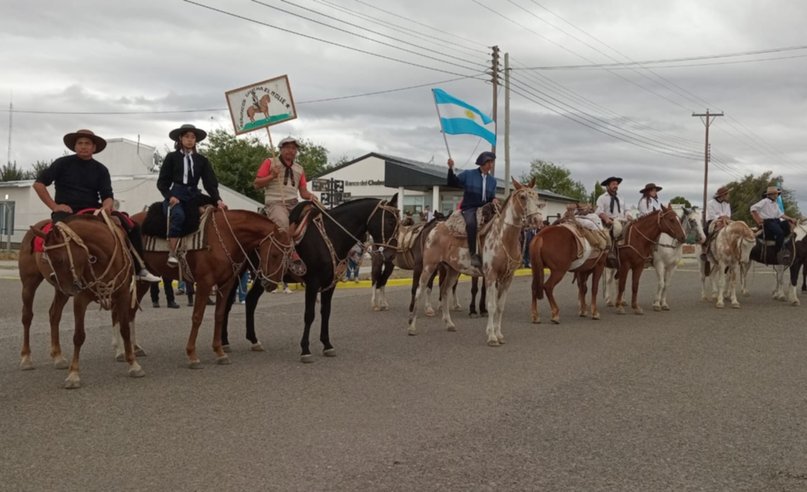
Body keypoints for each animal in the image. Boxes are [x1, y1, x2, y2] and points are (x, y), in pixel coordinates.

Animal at [19, 211, 144, 388]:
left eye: (59, 259)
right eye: (48, 259)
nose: (67, 287)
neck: (101, 258)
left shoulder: (124, 294)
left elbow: (125, 330)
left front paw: (133, 364)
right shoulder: (80, 299)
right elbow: (78, 336)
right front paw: (73, 375)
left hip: (60, 292)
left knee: (54, 314)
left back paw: (58, 356)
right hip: (30, 283)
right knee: (27, 316)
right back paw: (26, 358)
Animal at [129, 206, 296, 368]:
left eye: (288, 255)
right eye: (275, 254)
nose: (271, 284)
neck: (225, 236)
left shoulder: (226, 284)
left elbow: (220, 315)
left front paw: (220, 352)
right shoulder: (204, 283)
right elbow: (197, 317)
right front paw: (192, 355)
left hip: (144, 280)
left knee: (132, 311)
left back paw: (134, 348)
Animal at [224, 195, 400, 362]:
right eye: (390, 222)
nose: (392, 255)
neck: (330, 235)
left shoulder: (330, 284)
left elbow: (326, 312)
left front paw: (327, 345)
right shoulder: (312, 283)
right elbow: (309, 315)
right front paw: (305, 350)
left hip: (263, 278)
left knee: (251, 300)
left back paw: (254, 340)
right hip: (237, 272)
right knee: (227, 303)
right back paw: (225, 342)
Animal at [408, 178, 548, 346]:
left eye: (536, 196)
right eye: (522, 197)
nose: (537, 220)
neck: (504, 238)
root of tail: (434, 228)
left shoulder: (507, 277)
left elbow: (500, 306)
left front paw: (499, 335)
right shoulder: (491, 275)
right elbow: (492, 305)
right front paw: (492, 337)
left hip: (452, 270)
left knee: (444, 291)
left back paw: (449, 324)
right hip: (429, 267)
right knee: (419, 291)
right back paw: (412, 327)